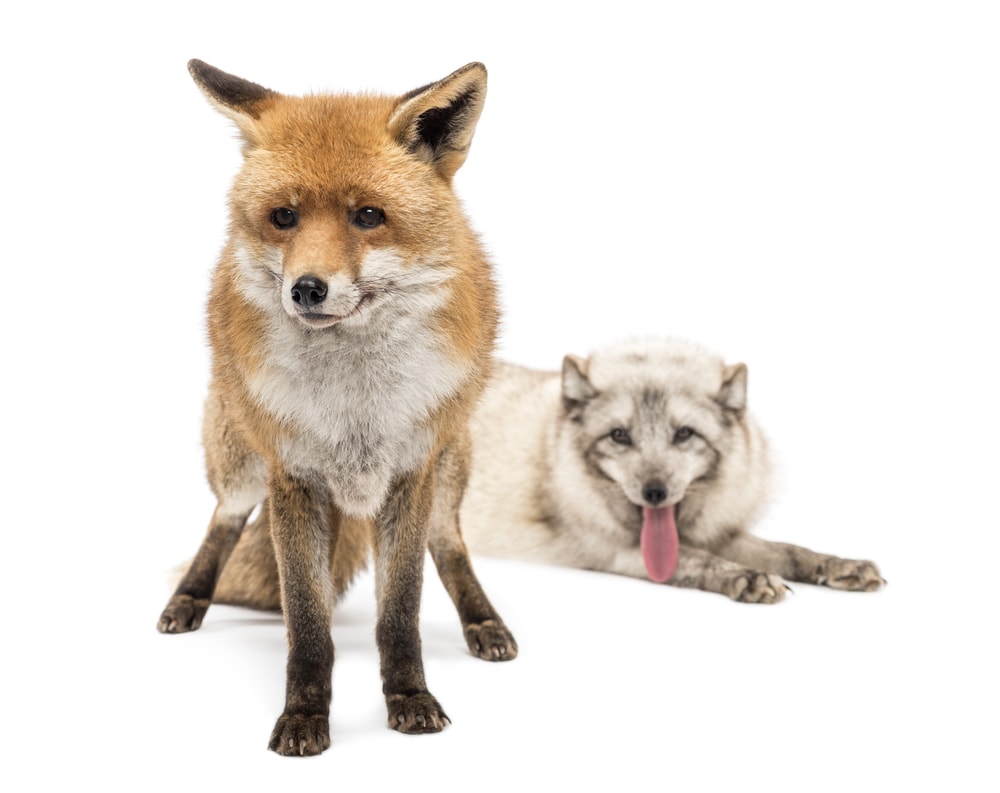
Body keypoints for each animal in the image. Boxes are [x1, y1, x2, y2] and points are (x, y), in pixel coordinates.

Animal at [156, 60, 517, 757]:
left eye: (368, 215)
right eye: (284, 216)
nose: (307, 289)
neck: (356, 407)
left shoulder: (409, 474)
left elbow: (399, 612)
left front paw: (409, 699)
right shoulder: (292, 477)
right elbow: (307, 618)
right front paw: (304, 713)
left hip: (449, 465)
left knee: (449, 542)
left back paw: (484, 621)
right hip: (242, 467)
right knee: (223, 522)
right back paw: (188, 600)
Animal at [461, 337, 885, 602]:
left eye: (684, 433)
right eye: (619, 435)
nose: (655, 493)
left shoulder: (718, 531)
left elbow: (786, 550)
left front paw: (838, 565)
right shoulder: (610, 549)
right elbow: (695, 560)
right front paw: (745, 577)